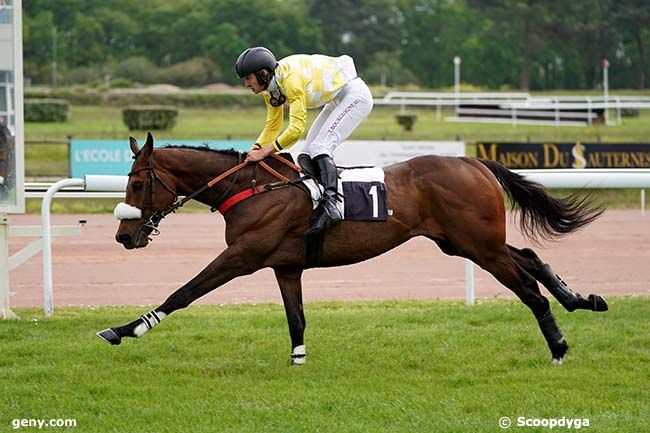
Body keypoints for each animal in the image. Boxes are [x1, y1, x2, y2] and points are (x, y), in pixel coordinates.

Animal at [97, 132, 608, 364]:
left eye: (137, 182)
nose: (124, 236)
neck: (253, 188)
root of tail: (473, 161)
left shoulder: (242, 257)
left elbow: (183, 292)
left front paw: (125, 330)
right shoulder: (285, 266)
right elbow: (296, 317)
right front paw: (298, 360)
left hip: (478, 245)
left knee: (527, 286)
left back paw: (559, 345)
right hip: (463, 243)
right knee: (531, 259)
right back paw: (582, 299)